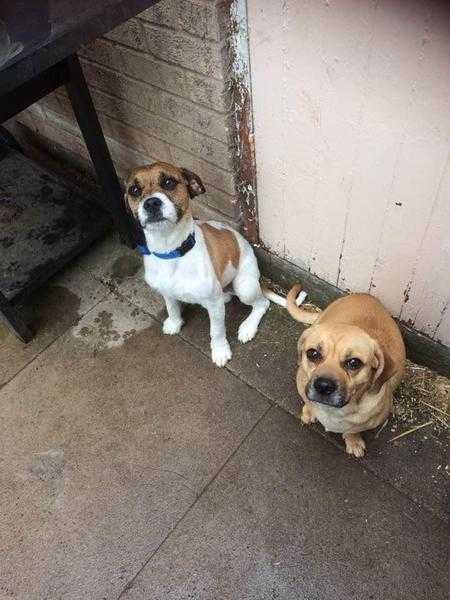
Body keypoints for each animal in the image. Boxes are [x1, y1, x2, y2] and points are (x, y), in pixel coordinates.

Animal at [124, 161, 270, 366]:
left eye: (169, 182)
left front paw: (220, 351)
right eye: (134, 190)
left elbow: (216, 331)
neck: (170, 251)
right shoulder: (166, 291)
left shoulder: (215, 305)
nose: (151, 203)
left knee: (262, 304)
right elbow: (171, 308)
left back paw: (247, 327)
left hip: (245, 287)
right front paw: (174, 323)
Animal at [286, 284, 406, 454]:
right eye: (313, 354)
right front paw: (309, 411)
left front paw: (353, 440)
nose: (323, 386)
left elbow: (353, 430)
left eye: (354, 363)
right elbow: (308, 402)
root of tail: (366, 296)